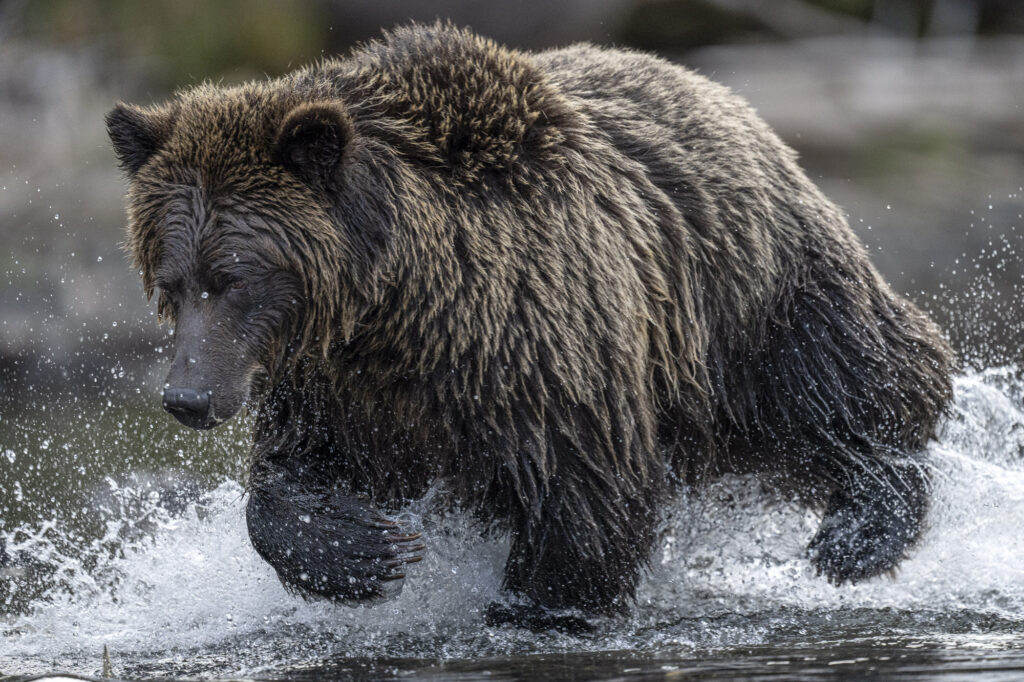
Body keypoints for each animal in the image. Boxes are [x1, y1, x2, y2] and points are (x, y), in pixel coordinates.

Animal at [106, 22, 954, 631]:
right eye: (169, 282)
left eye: (233, 279)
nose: (188, 398)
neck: (399, 303)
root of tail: (709, 85)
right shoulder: (334, 381)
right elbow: (291, 476)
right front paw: (367, 551)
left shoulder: (538, 340)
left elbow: (582, 495)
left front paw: (537, 610)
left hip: (752, 298)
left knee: (846, 390)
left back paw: (856, 533)